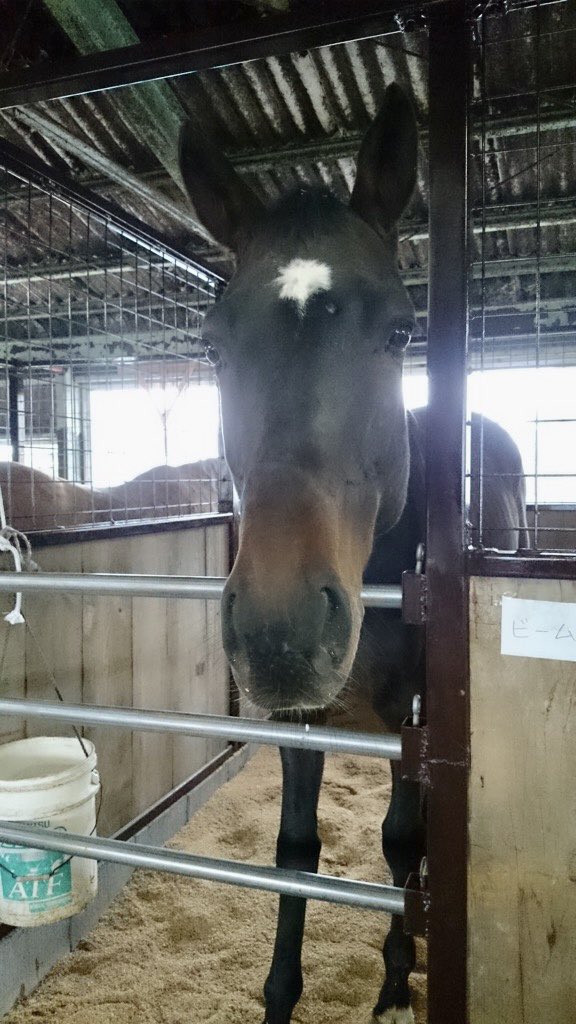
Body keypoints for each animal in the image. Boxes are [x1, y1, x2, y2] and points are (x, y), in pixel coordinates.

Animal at [179, 83, 527, 1024]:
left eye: (402, 332)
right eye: (214, 343)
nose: (281, 629)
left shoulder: (417, 714)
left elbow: (401, 843)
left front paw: (397, 987)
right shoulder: (301, 720)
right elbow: (297, 850)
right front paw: (279, 998)